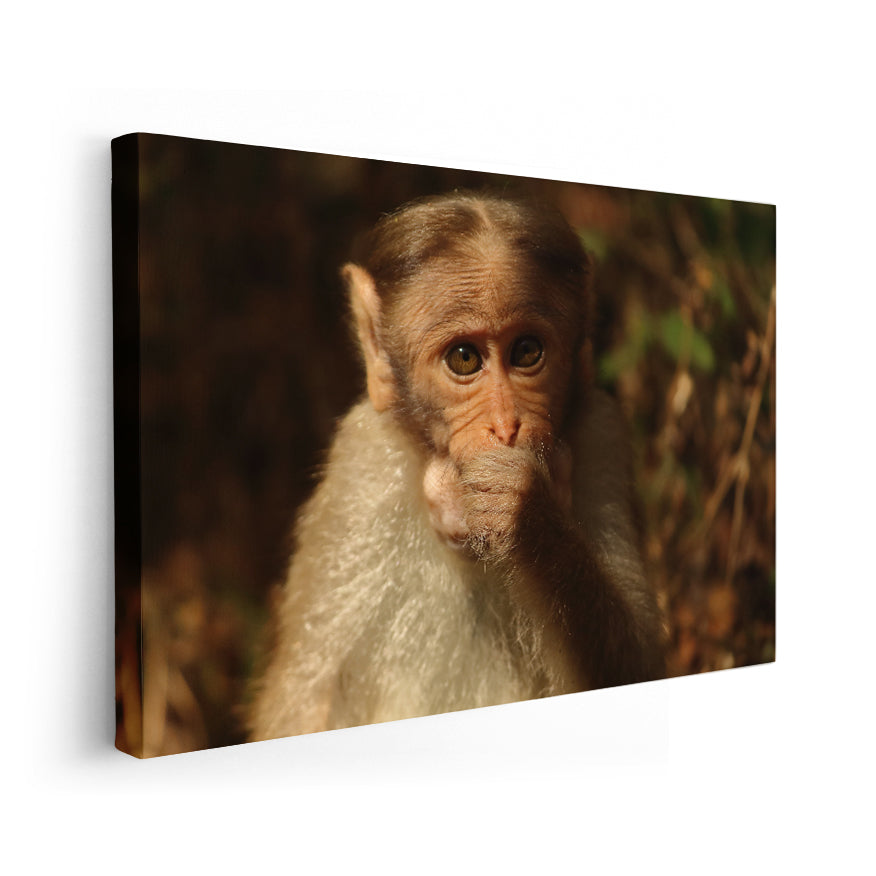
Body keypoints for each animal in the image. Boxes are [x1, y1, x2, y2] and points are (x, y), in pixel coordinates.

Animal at [247, 192, 666, 741]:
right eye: (464, 359)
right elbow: (305, 703)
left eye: (527, 352)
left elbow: (636, 667)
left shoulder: (604, 440)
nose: (506, 427)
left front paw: (526, 514)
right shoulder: (361, 470)